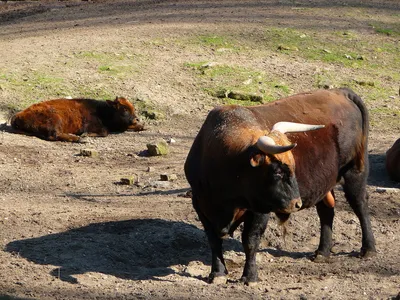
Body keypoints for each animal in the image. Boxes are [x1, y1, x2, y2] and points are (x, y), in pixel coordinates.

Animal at [9, 96, 145, 142]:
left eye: (132, 108)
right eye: (124, 109)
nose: (135, 119)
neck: (102, 110)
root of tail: (17, 116)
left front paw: (141, 125)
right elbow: (104, 132)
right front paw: (85, 135)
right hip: (56, 120)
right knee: (54, 135)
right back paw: (78, 139)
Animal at [184, 88, 376, 284]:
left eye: (292, 167)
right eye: (277, 172)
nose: (297, 203)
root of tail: (341, 91)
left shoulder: (260, 208)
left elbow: (250, 241)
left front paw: (249, 276)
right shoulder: (200, 204)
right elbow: (213, 240)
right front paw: (217, 273)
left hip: (354, 172)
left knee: (360, 205)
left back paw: (368, 248)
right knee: (326, 211)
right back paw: (322, 252)